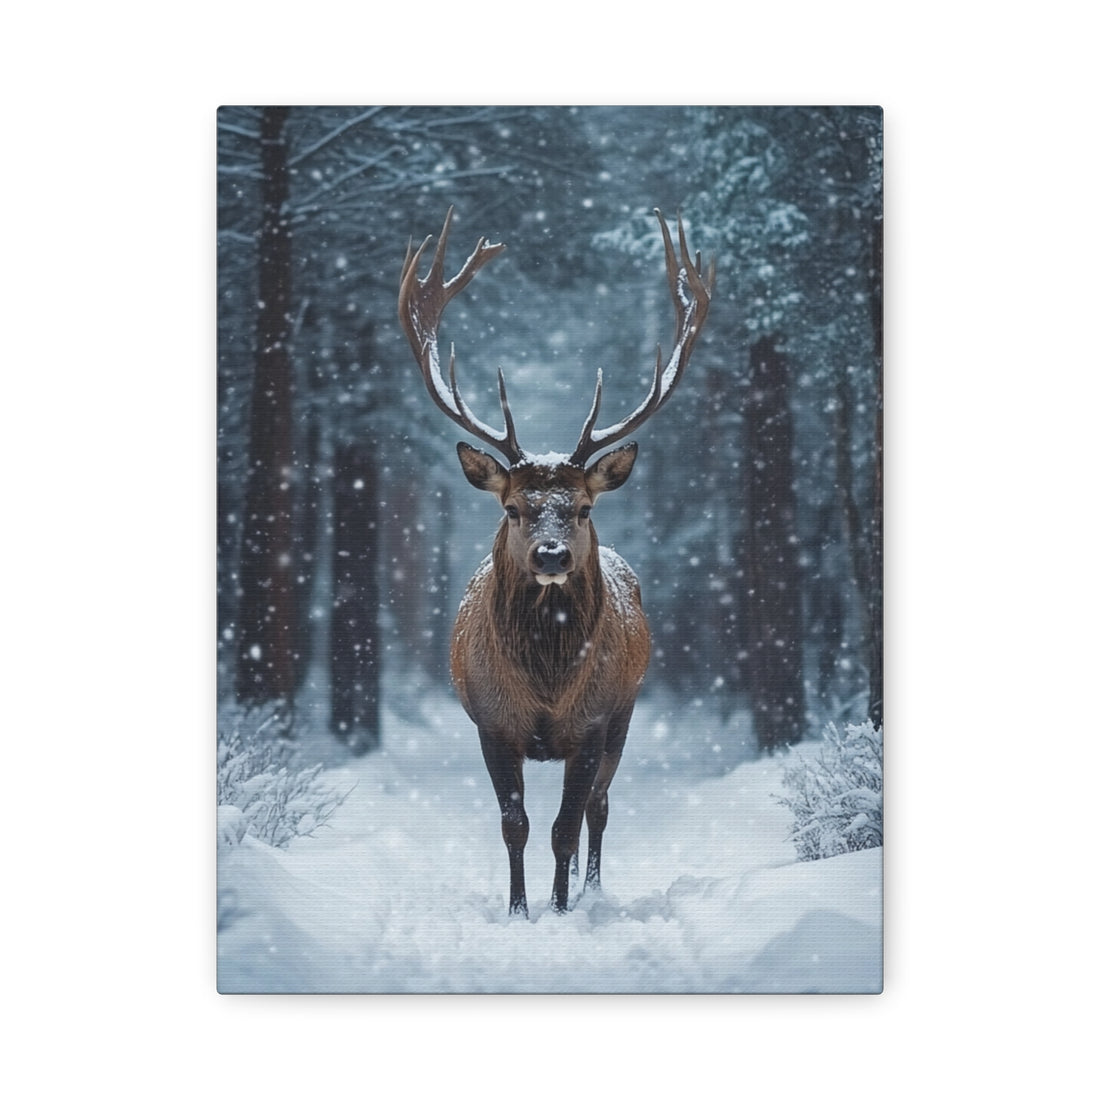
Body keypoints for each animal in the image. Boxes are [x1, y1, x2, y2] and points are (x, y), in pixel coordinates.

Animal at [398, 207, 714, 917]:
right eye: (514, 507)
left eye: (584, 508)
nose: (551, 553)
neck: (545, 682)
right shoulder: (491, 723)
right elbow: (514, 825)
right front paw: (518, 910)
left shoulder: (593, 721)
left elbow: (565, 826)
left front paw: (563, 909)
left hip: (626, 711)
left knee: (601, 806)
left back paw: (594, 891)